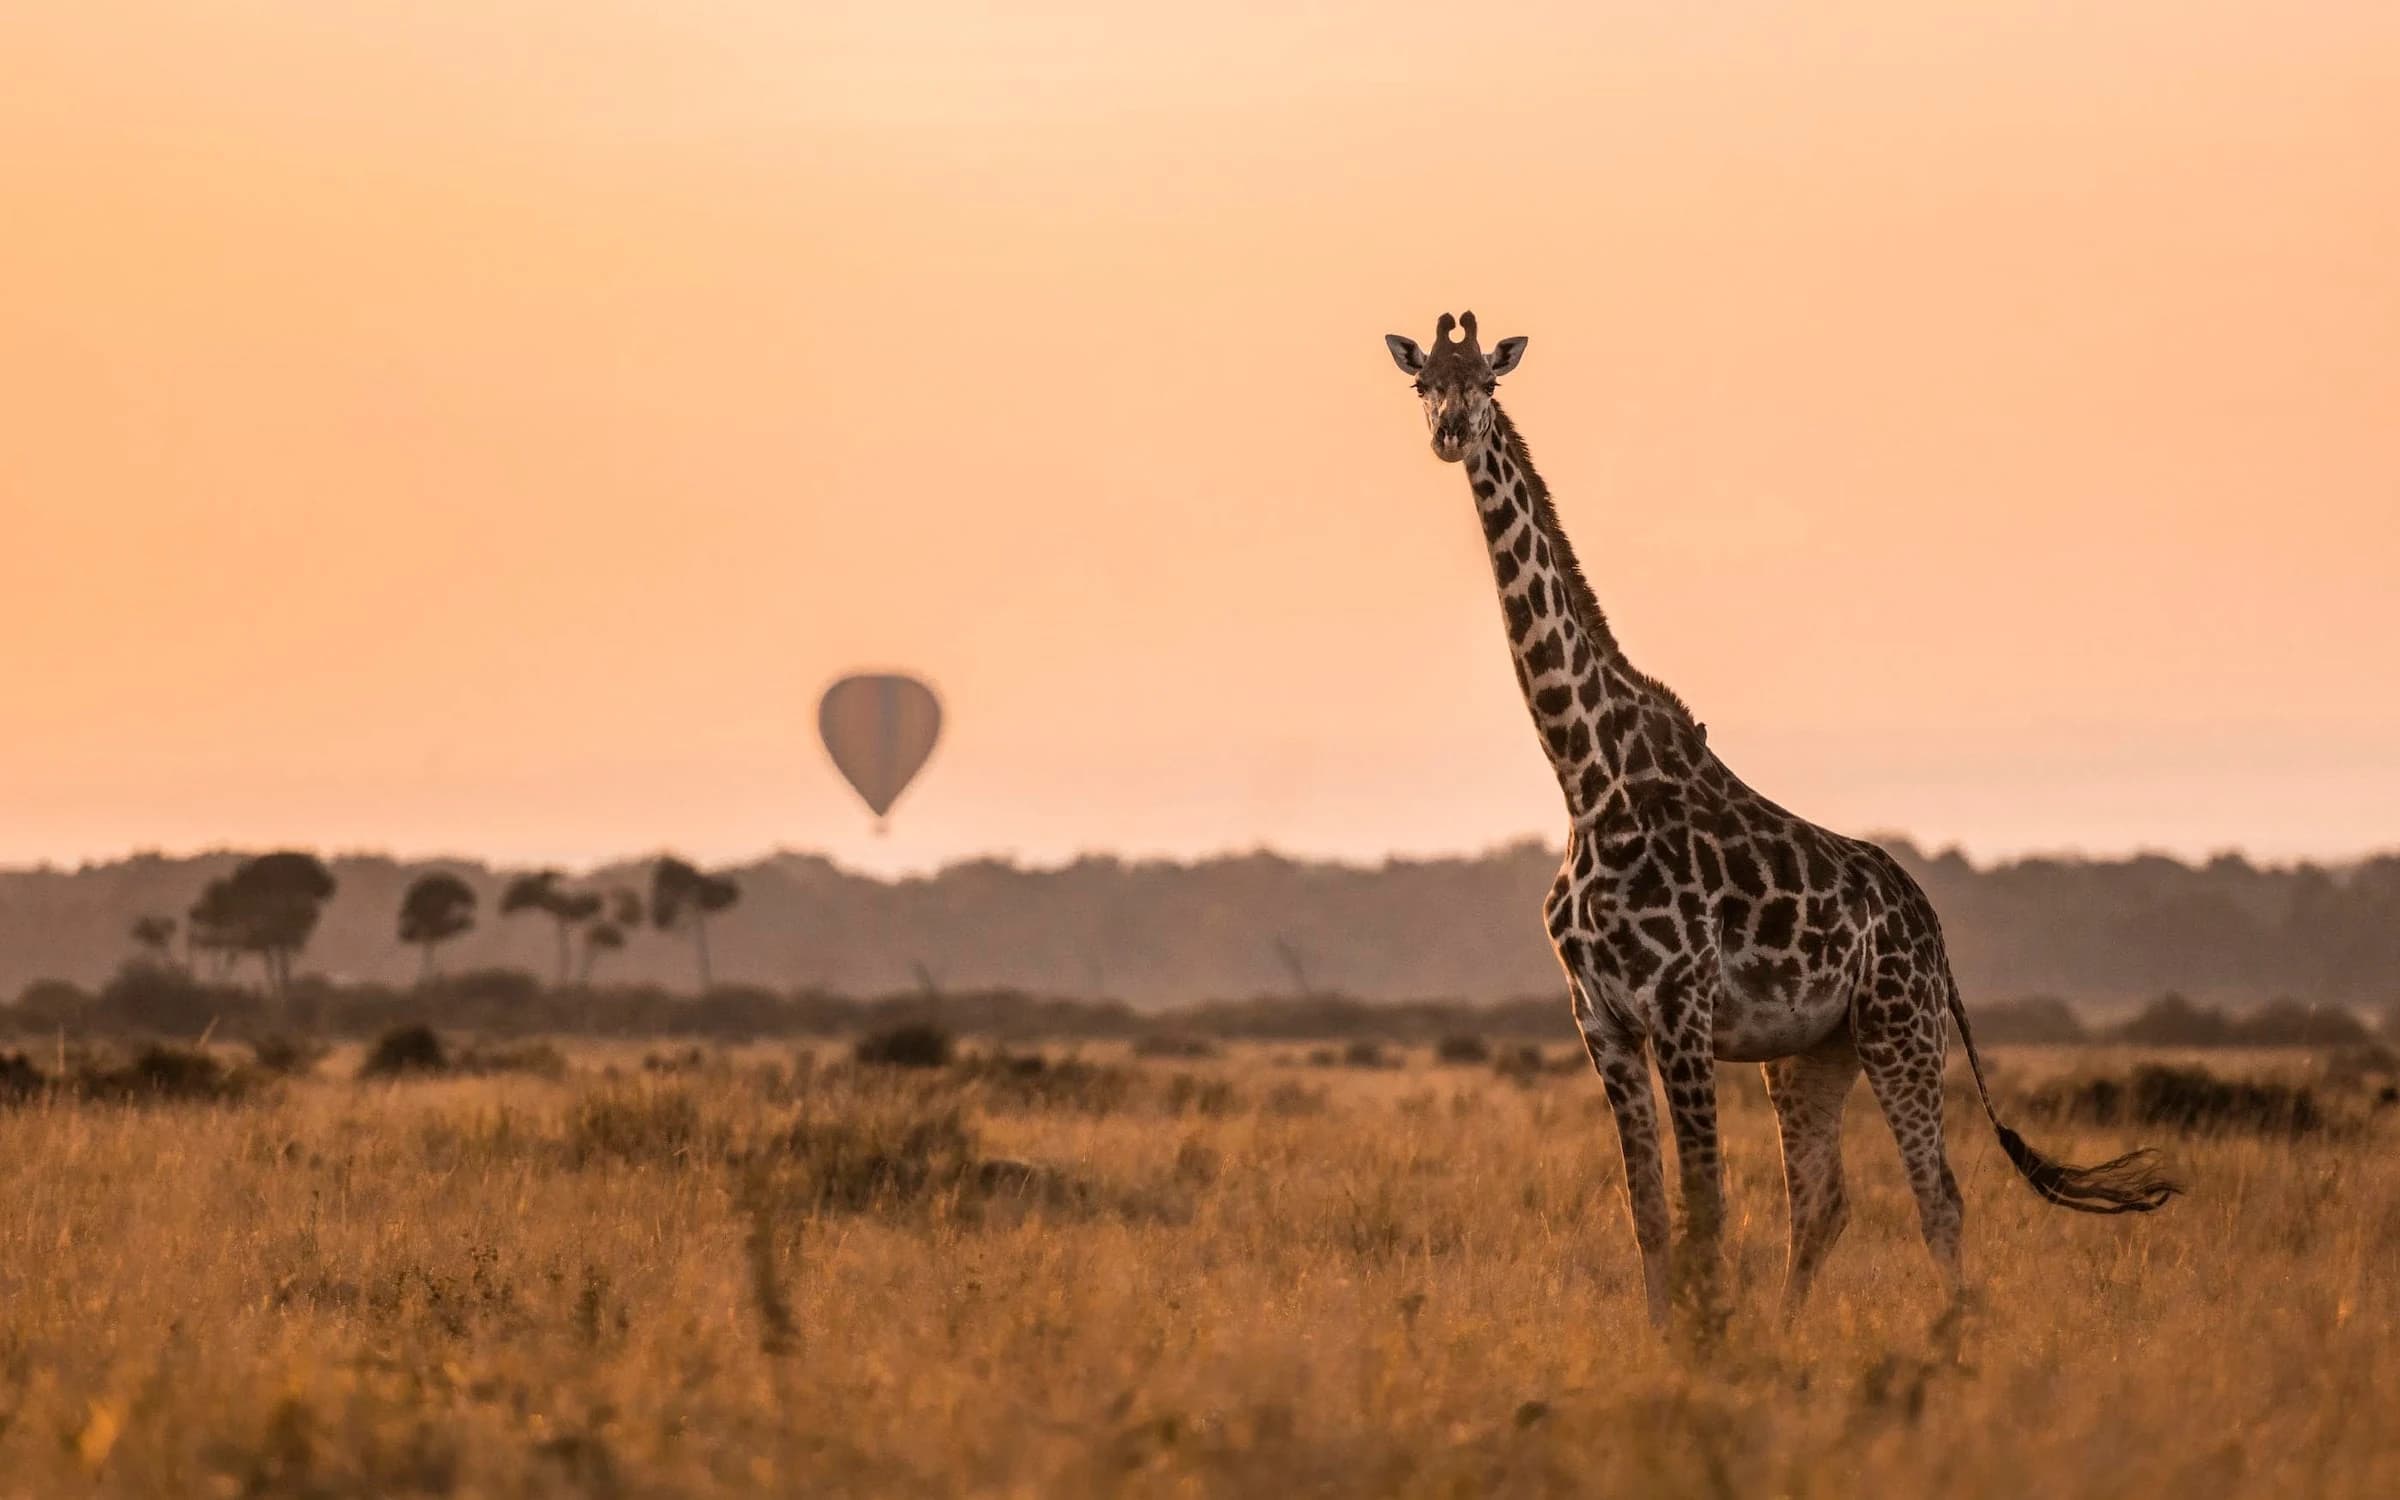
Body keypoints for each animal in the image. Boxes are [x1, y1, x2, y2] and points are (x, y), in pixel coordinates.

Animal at [1383, 311, 2178, 1330]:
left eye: (1486, 379)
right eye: (1423, 384)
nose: (1451, 432)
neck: (1586, 781)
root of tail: (1935, 929)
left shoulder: (1680, 1007)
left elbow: (1706, 1207)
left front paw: (1704, 1347)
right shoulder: (1600, 1020)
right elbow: (1648, 1212)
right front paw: (1667, 1344)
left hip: (1898, 1029)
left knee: (1938, 1195)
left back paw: (1947, 1343)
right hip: (1810, 1053)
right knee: (1823, 1200)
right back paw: (1789, 1335)